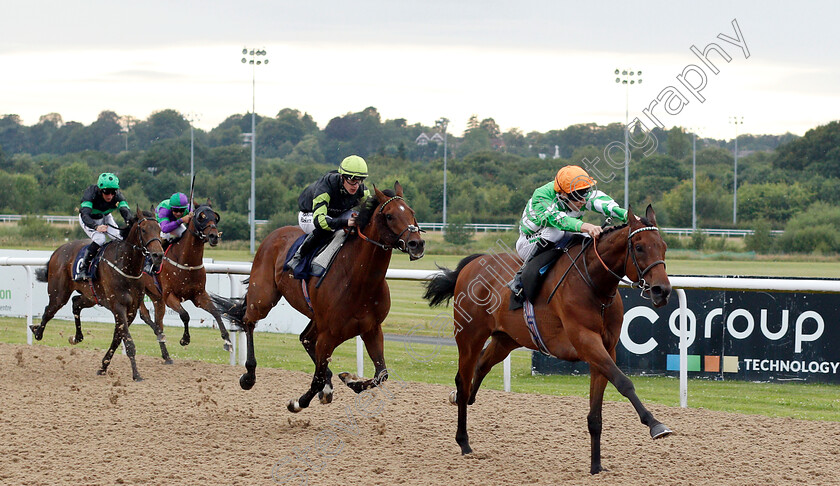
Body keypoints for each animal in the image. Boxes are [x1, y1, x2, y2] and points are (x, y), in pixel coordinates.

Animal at [30, 207, 164, 382]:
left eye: (160, 229)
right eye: (143, 229)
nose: (158, 255)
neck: (126, 267)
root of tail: (57, 251)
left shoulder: (131, 310)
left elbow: (117, 338)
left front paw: (103, 366)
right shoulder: (119, 306)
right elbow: (128, 342)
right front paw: (136, 374)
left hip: (91, 296)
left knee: (75, 302)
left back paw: (77, 337)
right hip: (59, 294)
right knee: (48, 311)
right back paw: (37, 331)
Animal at [139, 200, 230, 360]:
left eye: (215, 217)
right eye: (201, 216)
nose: (214, 236)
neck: (187, 263)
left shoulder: (199, 295)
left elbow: (216, 312)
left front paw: (227, 340)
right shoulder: (169, 296)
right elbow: (185, 315)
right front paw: (185, 339)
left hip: (157, 298)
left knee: (158, 321)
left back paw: (166, 356)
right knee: (145, 315)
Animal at [215, 182, 426, 414]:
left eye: (412, 213)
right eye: (389, 215)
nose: (417, 244)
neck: (359, 280)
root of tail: (275, 234)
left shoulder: (371, 328)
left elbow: (381, 374)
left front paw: (349, 379)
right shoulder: (329, 335)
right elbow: (316, 378)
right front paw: (298, 402)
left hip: (316, 317)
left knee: (305, 338)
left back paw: (328, 383)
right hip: (263, 296)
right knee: (249, 321)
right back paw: (249, 376)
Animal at [424, 205, 672, 474]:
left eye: (664, 246)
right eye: (639, 247)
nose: (662, 290)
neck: (594, 285)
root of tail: (474, 262)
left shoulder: (605, 349)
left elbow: (596, 414)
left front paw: (596, 466)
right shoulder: (586, 341)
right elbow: (624, 382)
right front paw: (656, 425)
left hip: (506, 340)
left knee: (479, 369)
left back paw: (463, 400)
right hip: (469, 335)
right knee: (463, 379)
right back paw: (464, 441)